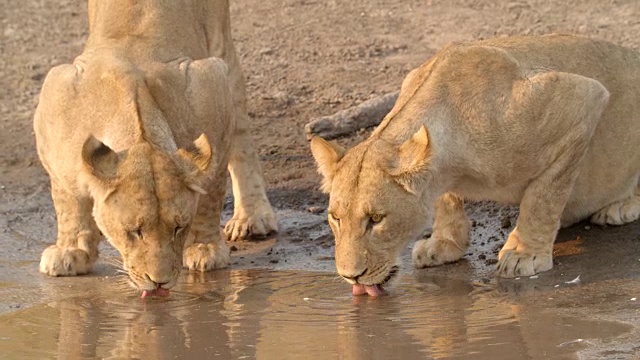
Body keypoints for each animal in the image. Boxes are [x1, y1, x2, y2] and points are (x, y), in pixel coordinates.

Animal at [33, 0, 276, 296]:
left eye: (179, 228)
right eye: (134, 230)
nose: (159, 282)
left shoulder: (211, 86)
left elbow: (212, 191)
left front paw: (205, 247)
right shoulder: (55, 97)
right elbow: (67, 200)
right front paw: (71, 251)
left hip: (222, 48)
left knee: (242, 132)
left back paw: (252, 216)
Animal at [312, 35, 640, 296]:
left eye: (377, 219)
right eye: (335, 217)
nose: (350, 276)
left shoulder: (581, 100)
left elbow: (543, 198)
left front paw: (523, 254)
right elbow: (446, 199)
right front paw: (444, 244)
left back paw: (620, 207)